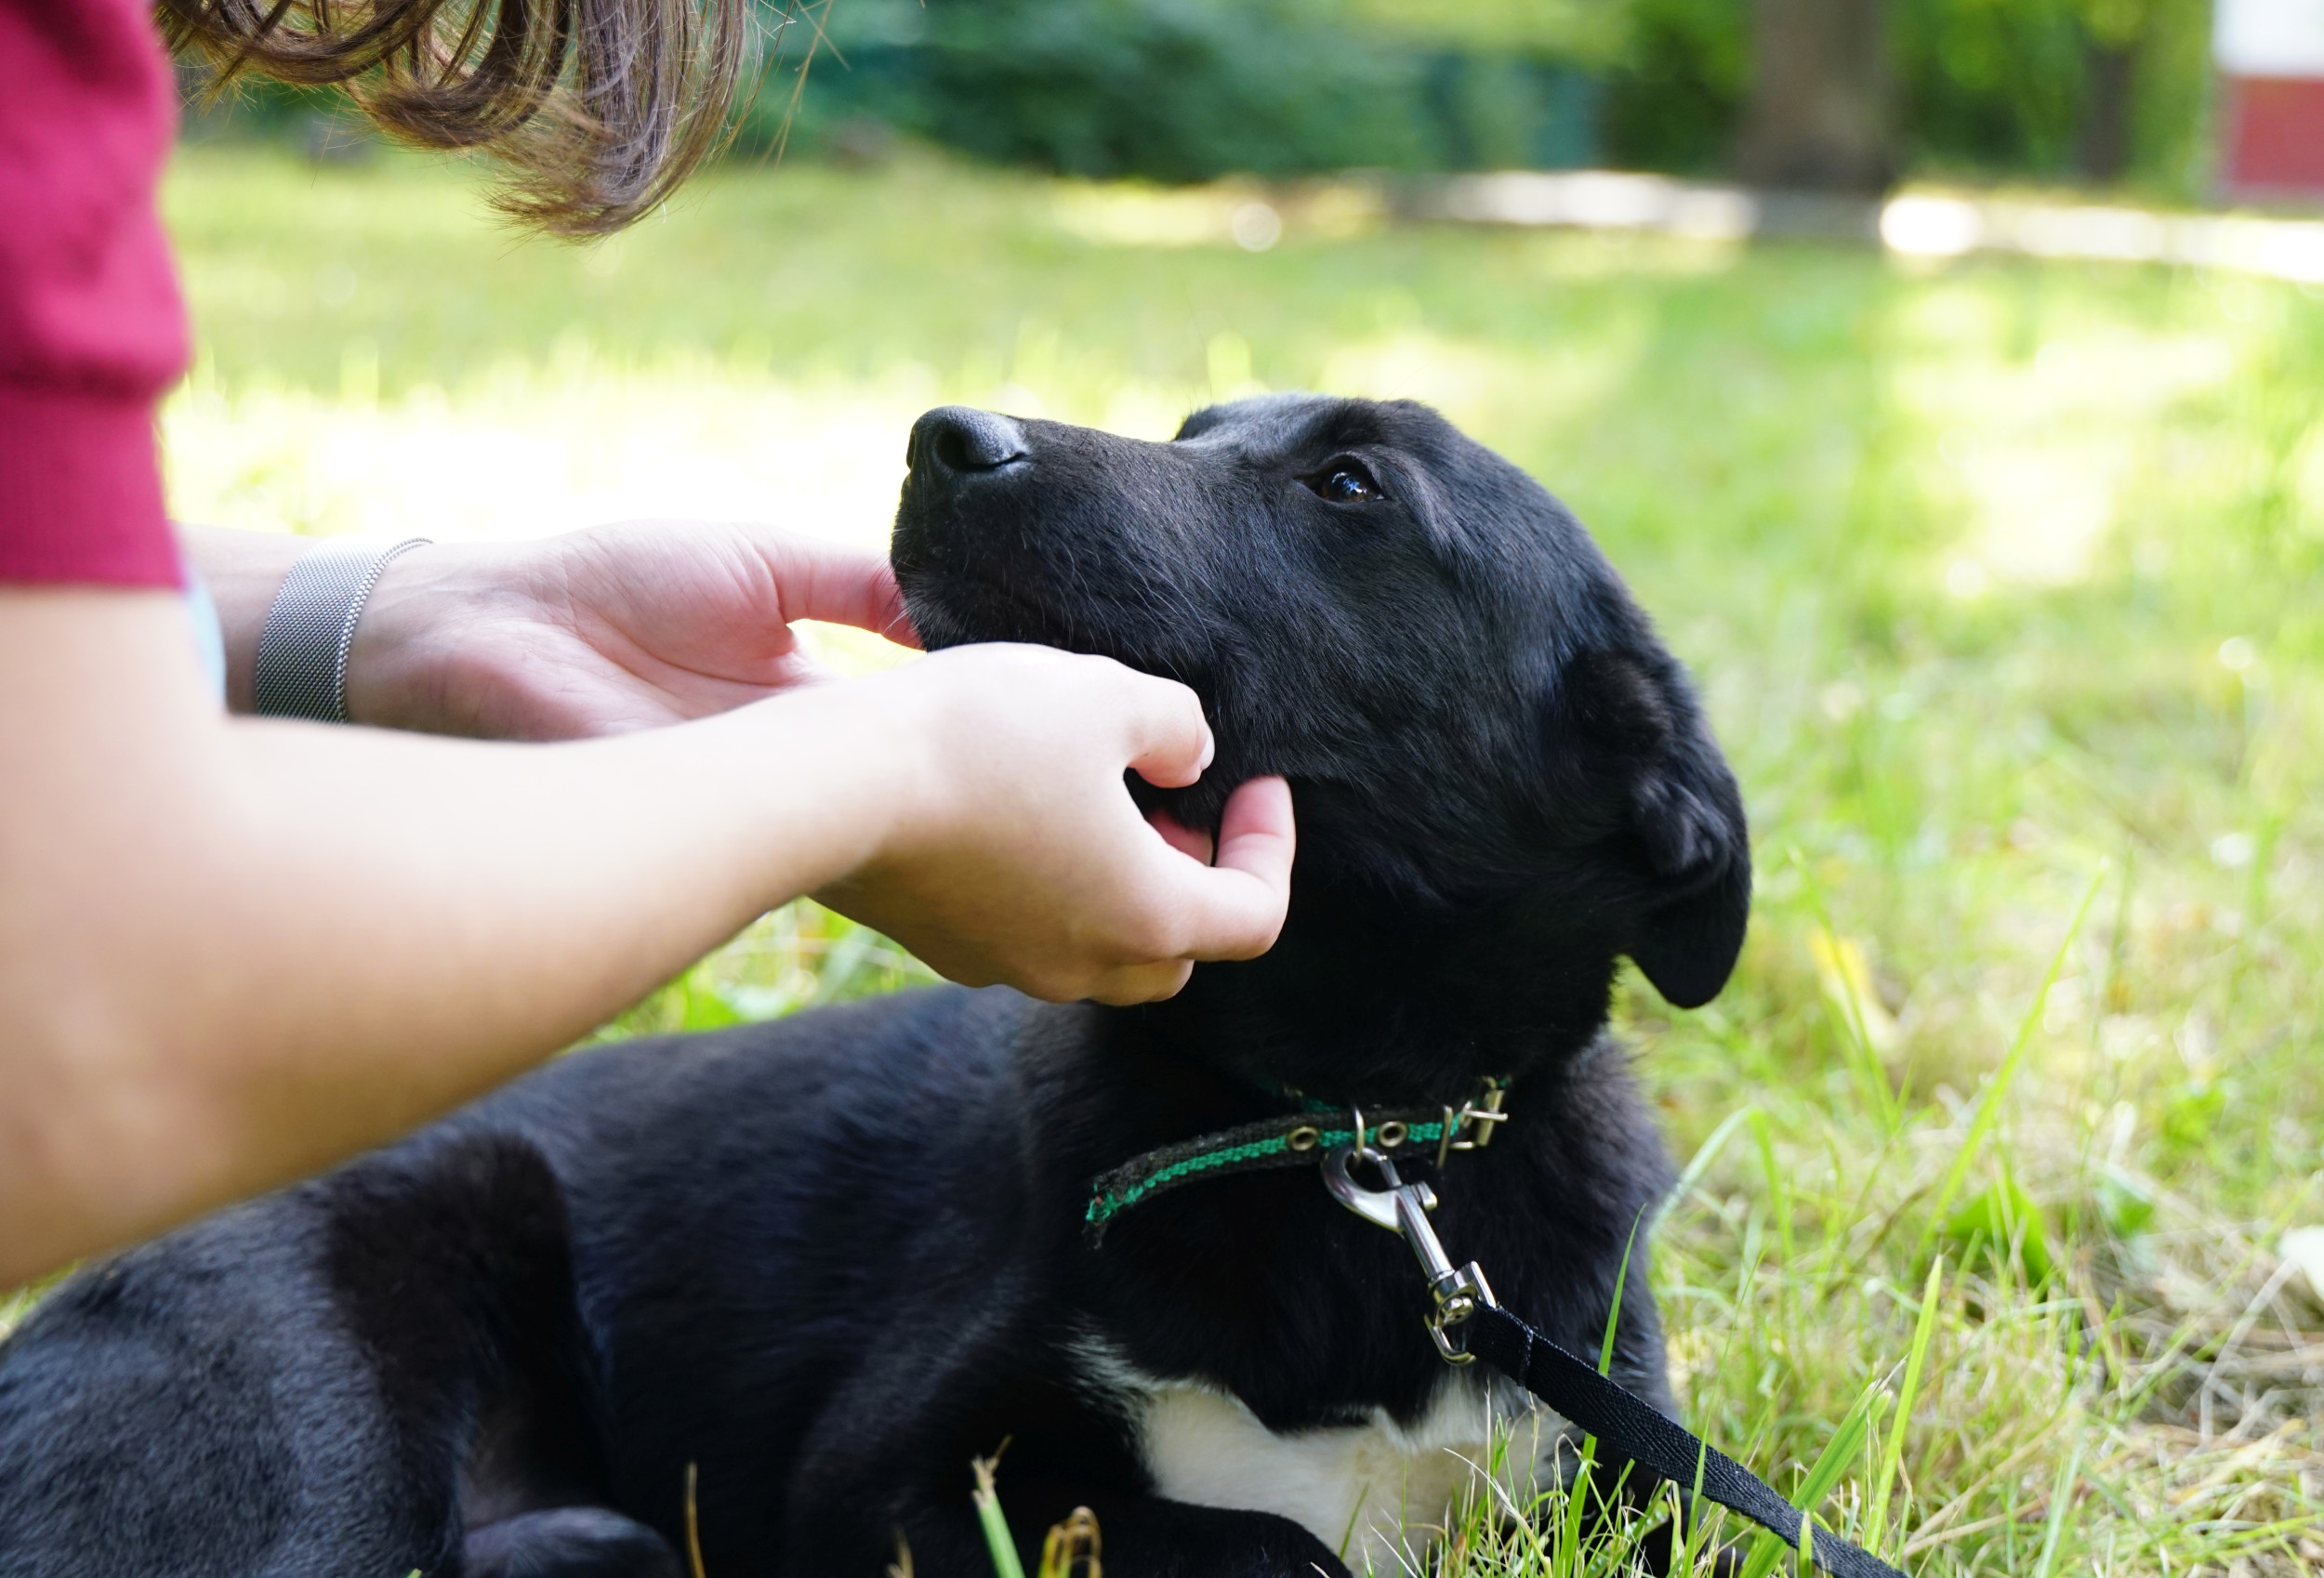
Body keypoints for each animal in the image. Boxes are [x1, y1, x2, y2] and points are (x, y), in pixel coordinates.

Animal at [0, 395, 1748, 1578]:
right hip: (312, 1426)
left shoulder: (1636, 1481)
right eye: (1195, 428)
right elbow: (1272, 1541)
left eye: (1349, 484)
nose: (944, 436)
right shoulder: (888, 1485)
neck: (1343, 1129)